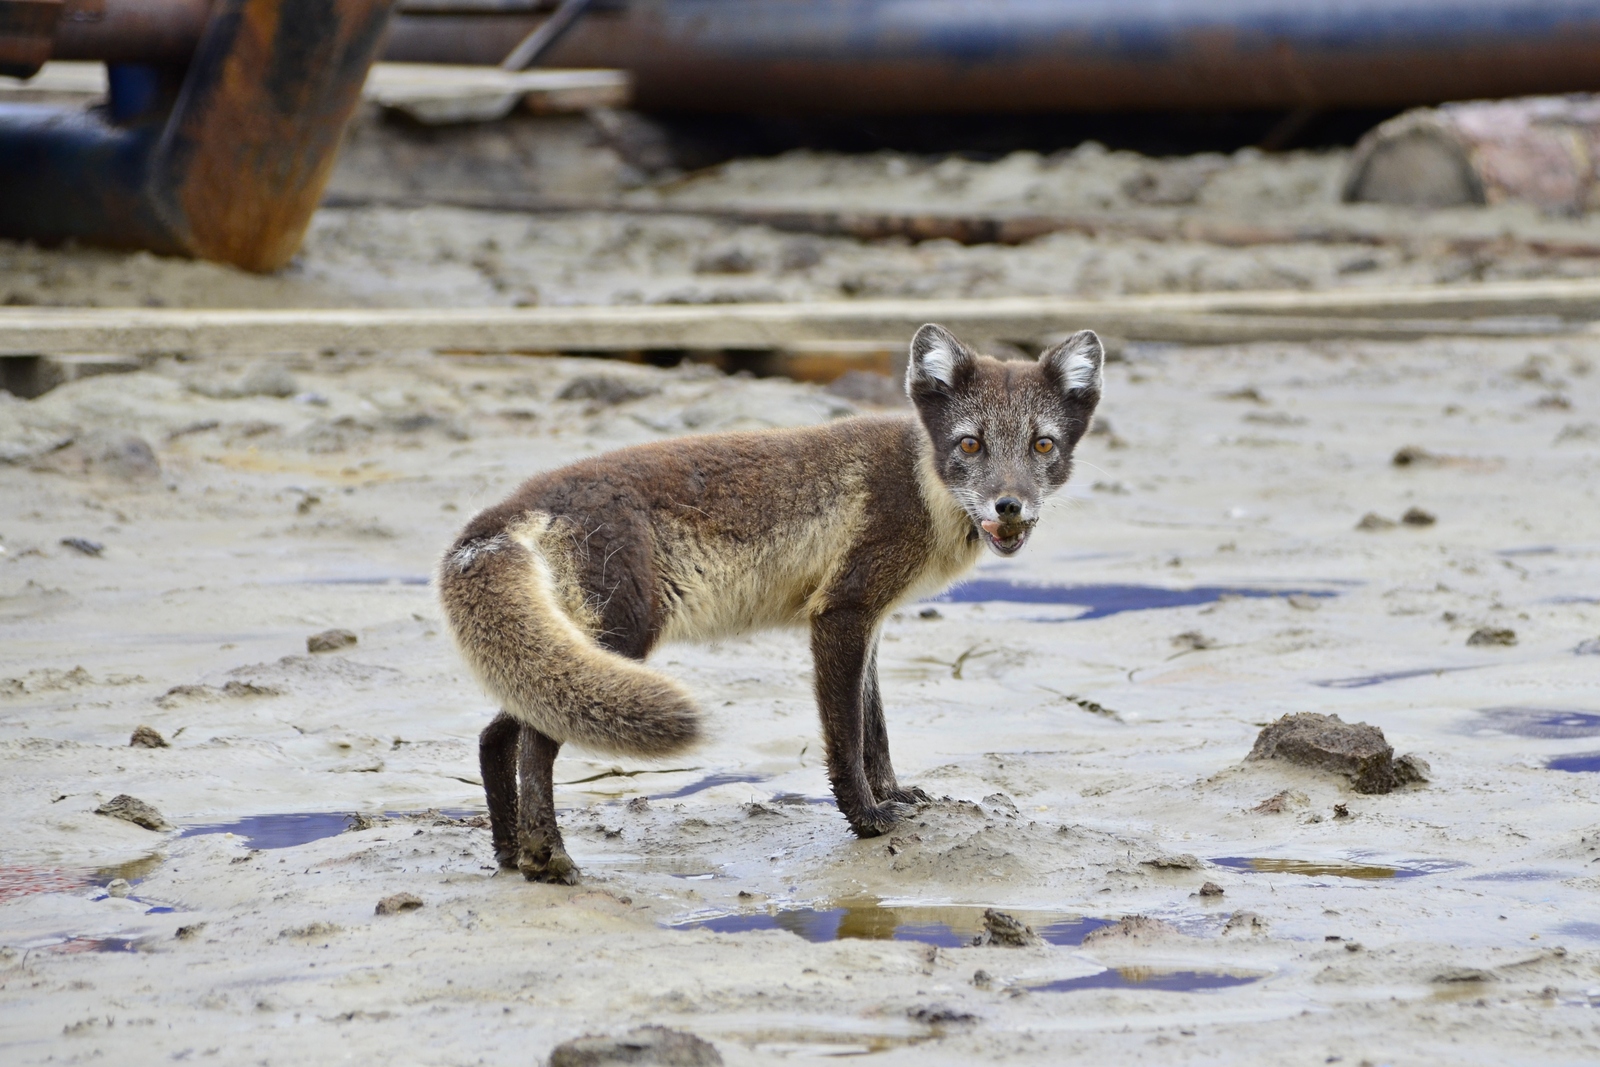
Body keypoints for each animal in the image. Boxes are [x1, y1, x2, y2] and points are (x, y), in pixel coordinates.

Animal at [441, 326, 1113, 883]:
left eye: (1043, 446)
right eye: (970, 445)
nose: (1009, 506)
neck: (922, 482)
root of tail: (512, 504)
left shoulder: (869, 620)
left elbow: (875, 729)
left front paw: (895, 796)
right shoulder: (840, 613)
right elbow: (847, 738)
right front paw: (867, 819)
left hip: (582, 648)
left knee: (496, 734)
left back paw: (509, 855)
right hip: (622, 637)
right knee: (535, 741)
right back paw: (548, 859)